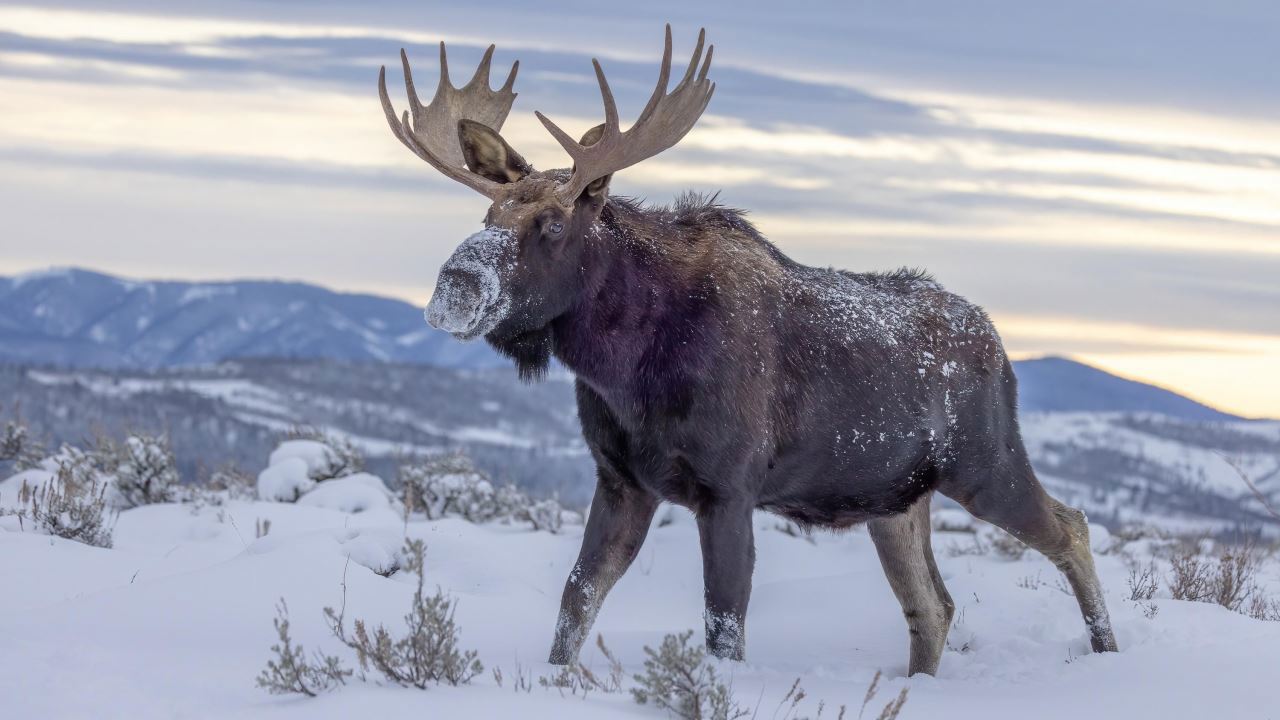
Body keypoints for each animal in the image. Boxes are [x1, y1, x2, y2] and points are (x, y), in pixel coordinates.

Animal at [373, 22, 1116, 671]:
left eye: (552, 223)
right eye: (488, 213)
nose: (454, 285)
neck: (625, 366)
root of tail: (999, 347)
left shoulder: (728, 488)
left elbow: (723, 625)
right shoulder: (621, 481)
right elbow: (575, 603)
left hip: (985, 463)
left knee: (1072, 528)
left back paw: (1107, 654)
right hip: (898, 500)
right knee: (933, 606)